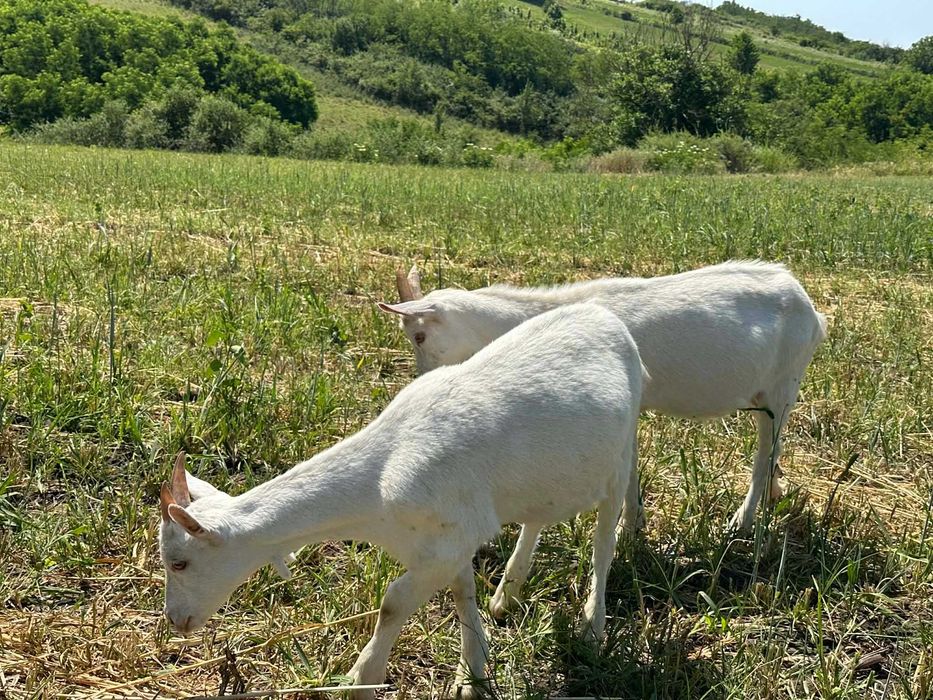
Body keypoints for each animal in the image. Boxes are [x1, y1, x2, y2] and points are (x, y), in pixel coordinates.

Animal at [158, 303, 645, 700]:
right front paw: (473, 673)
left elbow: (393, 602)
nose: (175, 621)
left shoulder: (447, 538)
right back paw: (508, 593)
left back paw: (591, 626)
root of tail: (605, 316)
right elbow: (462, 592)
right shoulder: (451, 540)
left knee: (604, 542)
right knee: (537, 516)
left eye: (179, 562)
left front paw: (361, 681)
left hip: (622, 454)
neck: (378, 486)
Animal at [379, 261, 827, 616]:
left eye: (419, 336)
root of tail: (811, 310)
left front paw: (627, 531)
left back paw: (742, 523)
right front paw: (634, 527)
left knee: (764, 454)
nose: (421, 381)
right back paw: (774, 493)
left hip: (784, 384)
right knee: (773, 449)